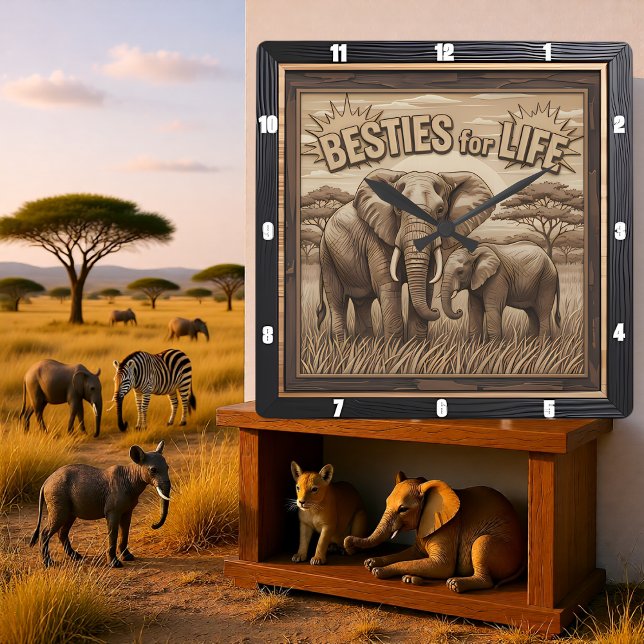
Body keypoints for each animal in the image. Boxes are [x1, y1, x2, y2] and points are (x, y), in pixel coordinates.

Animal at [30, 441, 171, 568]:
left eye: (168, 468)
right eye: (153, 470)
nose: (153, 525)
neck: (132, 471)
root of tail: (46, 481)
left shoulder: (128, 508)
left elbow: (125, 528)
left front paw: (129, 557)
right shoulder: (113, 508)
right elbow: (113, 531)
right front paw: (115, 564)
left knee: (63, 529)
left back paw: (77, 557)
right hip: (57, 496)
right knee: (51, 527)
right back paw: (49, 564)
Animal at [317, 168, 496, 341]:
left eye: (440, 210)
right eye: (397, 209)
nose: (436, 310)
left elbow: (426, 286)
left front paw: (414, 348)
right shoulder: (377, 238)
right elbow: (389, 286)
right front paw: (395, 350)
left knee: (362, 302)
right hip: (326, 254)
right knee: (337, 300)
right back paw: (342, 344)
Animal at [344, 472, 525, 593]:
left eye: (403, 509)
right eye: (386, 503)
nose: (348, 544)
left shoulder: (450, 528)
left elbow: (442, 566)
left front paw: (378, 571)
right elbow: (411, 553)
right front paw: (370, 563)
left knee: (482, 544)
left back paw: (454, 584)